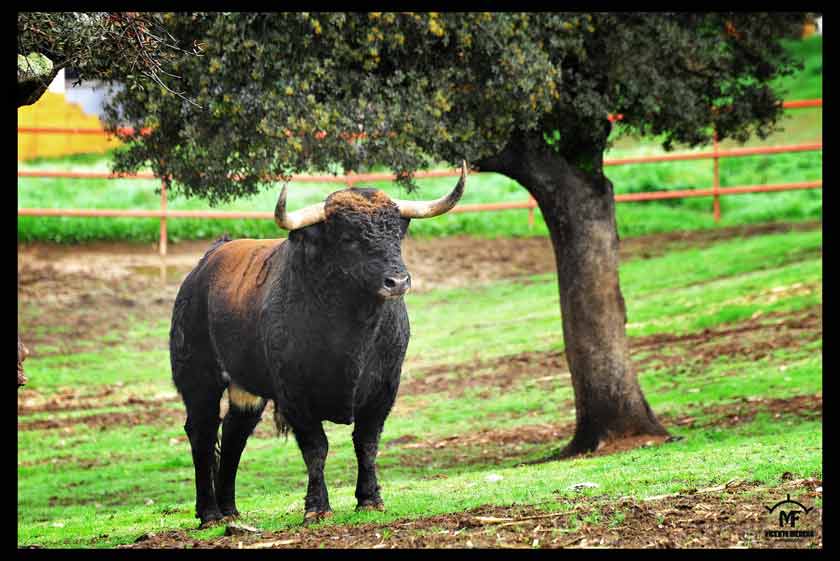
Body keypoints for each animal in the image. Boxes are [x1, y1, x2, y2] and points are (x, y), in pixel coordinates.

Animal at [169, 161, 466, 524]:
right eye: (348, 238)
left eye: (398, 233)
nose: (397, 281)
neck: (352, 333)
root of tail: (203, 267)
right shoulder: (295, 394)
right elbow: (316, 448)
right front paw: (317, 507)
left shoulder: (384, 388)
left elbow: (367, 442)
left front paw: (370, 499)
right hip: (199, 379)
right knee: (203, 431)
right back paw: (209, 513)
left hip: (246, 389)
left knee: (235, 433)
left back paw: (231, 512)